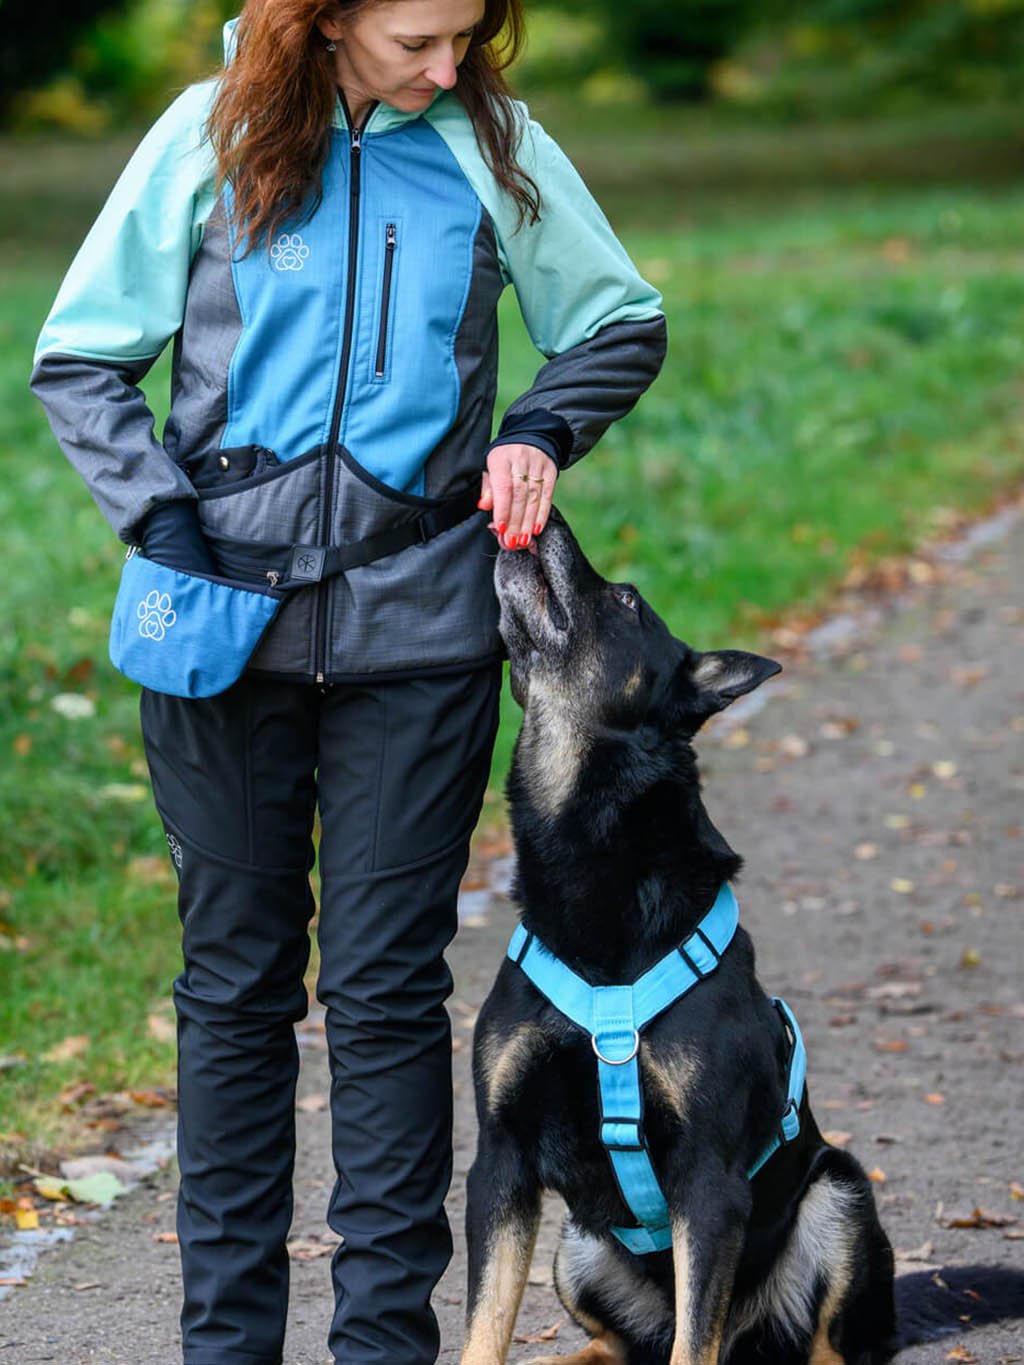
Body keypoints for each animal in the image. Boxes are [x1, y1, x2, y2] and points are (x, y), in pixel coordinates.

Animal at [464, 513, 1024, 1365]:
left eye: (625, 600)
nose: (548, 515)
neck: (596, 868)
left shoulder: (709, 1180)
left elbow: (694, 1339)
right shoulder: (500, 1162)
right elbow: (483, 1325)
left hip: (838, 1193)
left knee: (805, 1342)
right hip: (579, 1245)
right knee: (628, 1341)